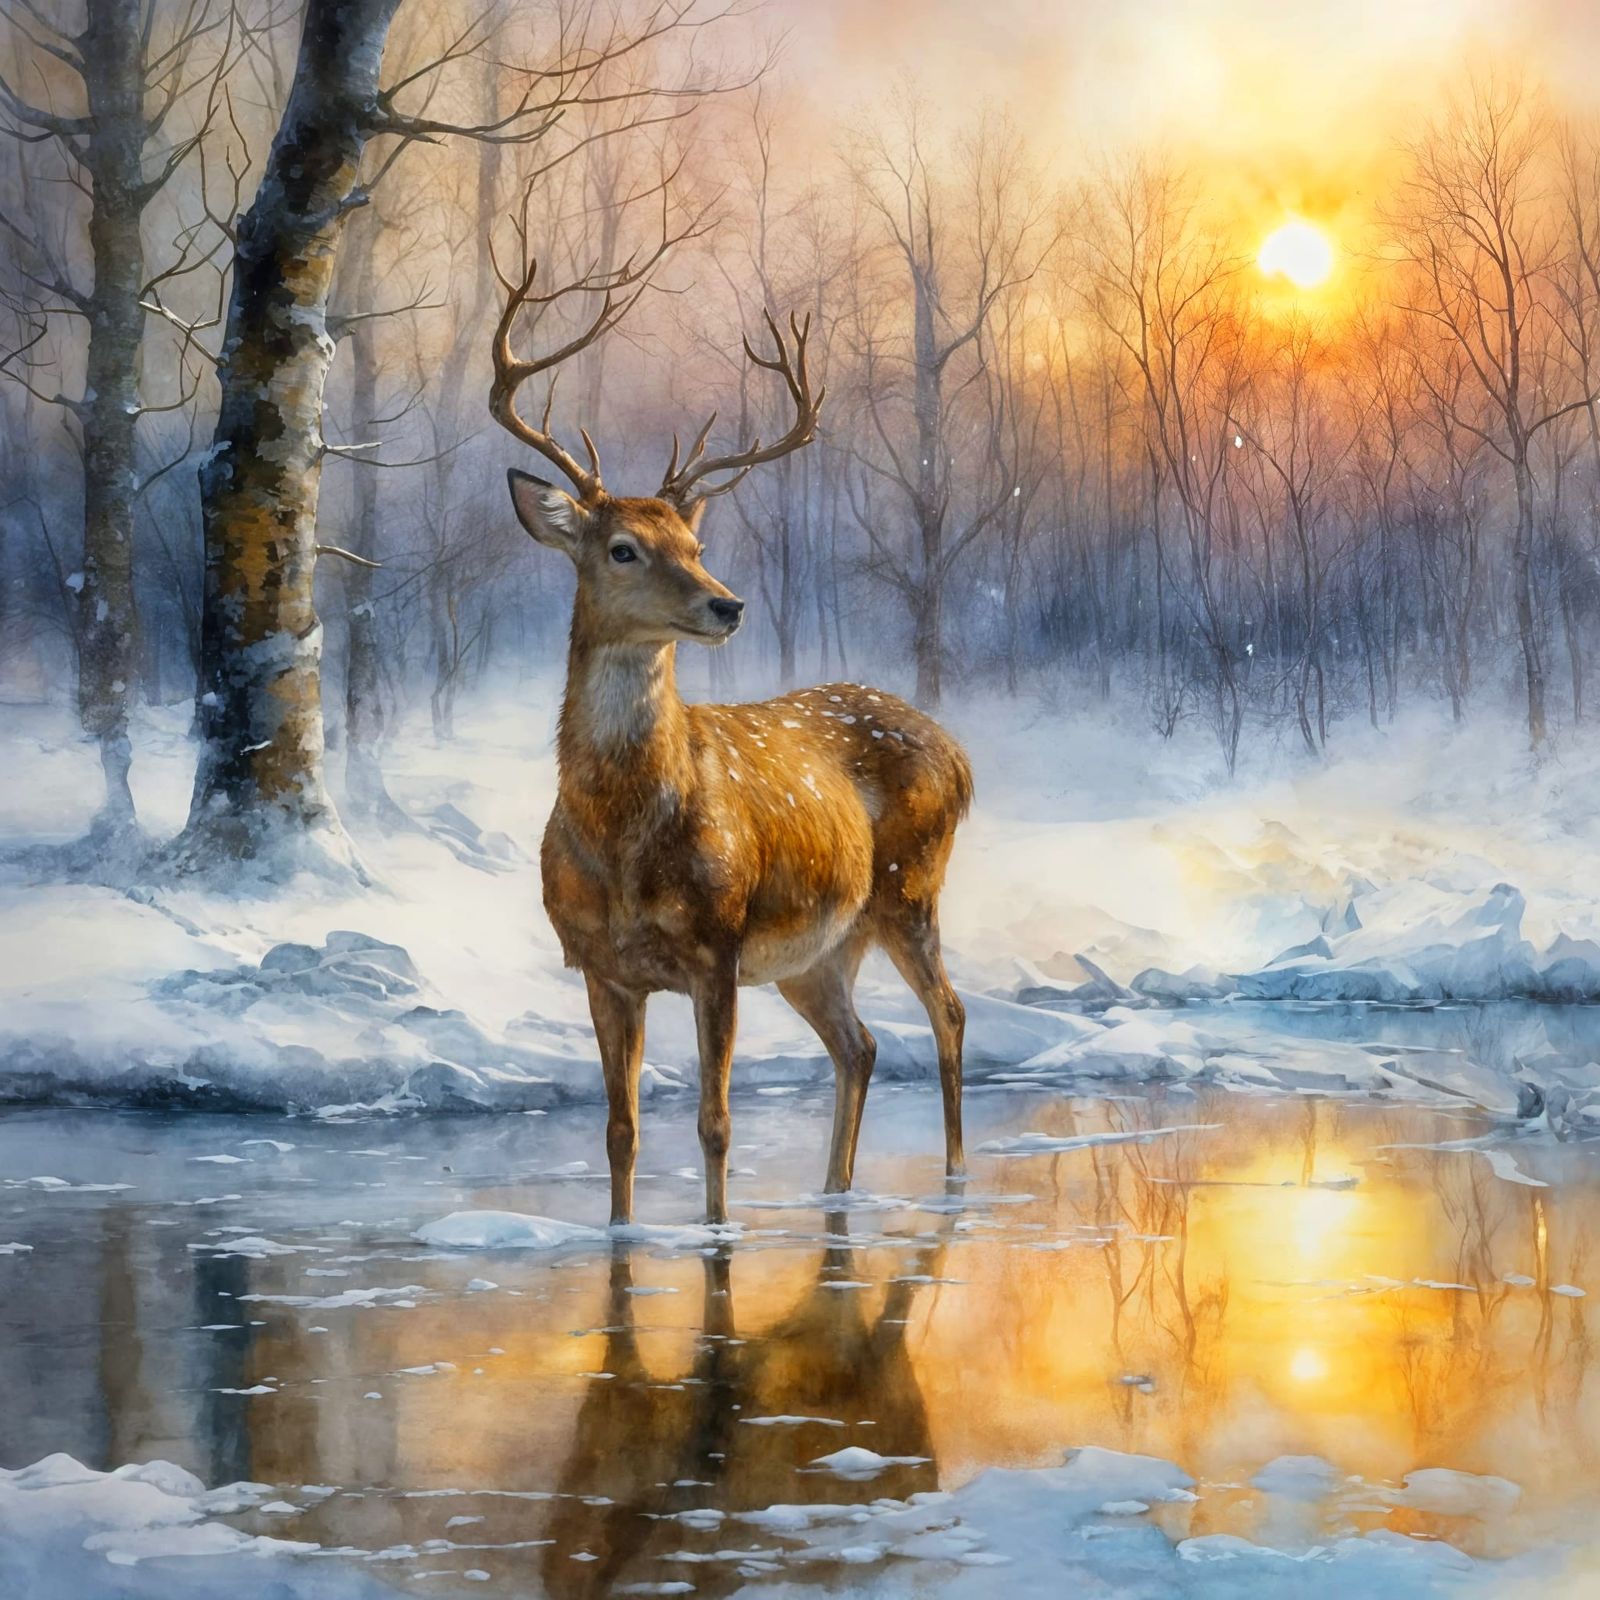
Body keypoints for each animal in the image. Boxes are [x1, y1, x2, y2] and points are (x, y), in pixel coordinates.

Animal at [490, 260, 973, 1228]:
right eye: (623, 547)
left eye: (697, 539)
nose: (727, 603)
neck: (624, 839)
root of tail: (958, 754)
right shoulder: (602, 967)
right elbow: (621, 1130)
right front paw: (621, 1234)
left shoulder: (718, 945)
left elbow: (715, 1123)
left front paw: (715, 1234)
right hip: (821, 950)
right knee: (861, 1044)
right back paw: (835, 1189)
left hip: (909, 887)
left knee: (948, 1015)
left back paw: (953, 1180)